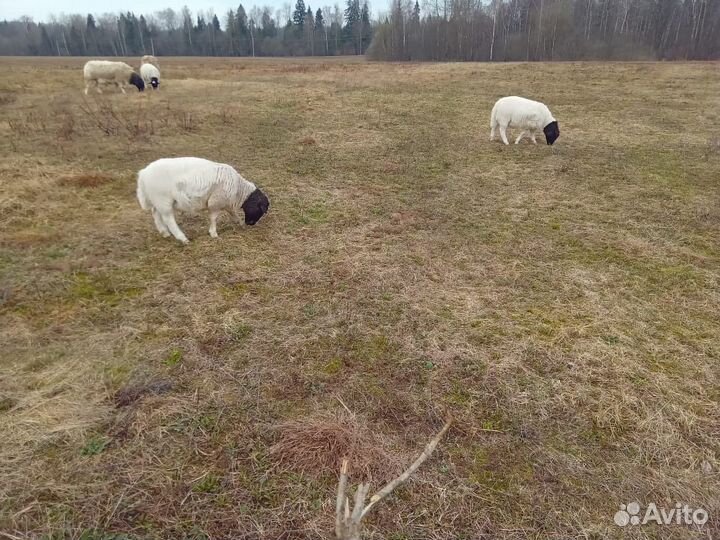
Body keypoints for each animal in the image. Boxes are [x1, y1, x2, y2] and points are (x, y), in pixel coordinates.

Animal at [136, 157, 270, 244]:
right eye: (261, 210)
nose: (250, 224)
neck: (240, 191)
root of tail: (143, 174)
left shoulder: (225, 202)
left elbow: (233, 213)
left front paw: (239, 223)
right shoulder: (216, 202)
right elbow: (213, 218)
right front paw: (214, 234)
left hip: (157, 200)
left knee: (155, 213)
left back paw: (164, 232)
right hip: (163, 199)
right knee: (168, 219)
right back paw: (182, 238)